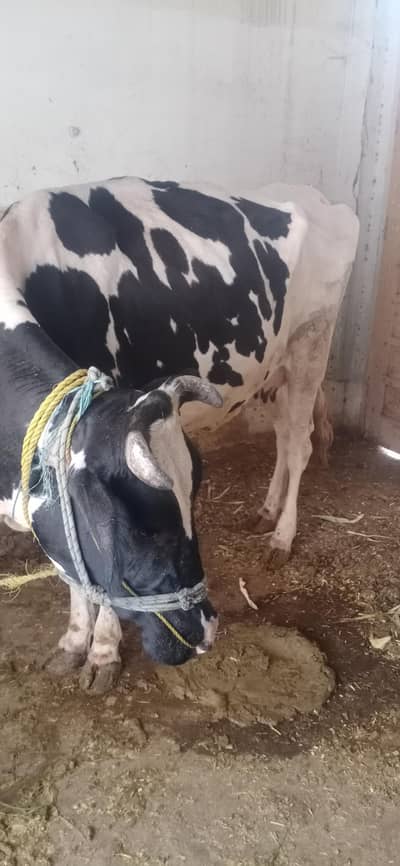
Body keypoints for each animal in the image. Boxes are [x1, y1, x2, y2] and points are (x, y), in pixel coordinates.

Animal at [0, 177, 359, 693]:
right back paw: (265, 512)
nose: (203, 632)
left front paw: (103, 651)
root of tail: (322, 199)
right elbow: (71, 564)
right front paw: (73, 641)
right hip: (269, 367)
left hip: (310, 345)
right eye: (142, 530)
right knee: (280, 442)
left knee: (297, 443)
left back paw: (282, 536)